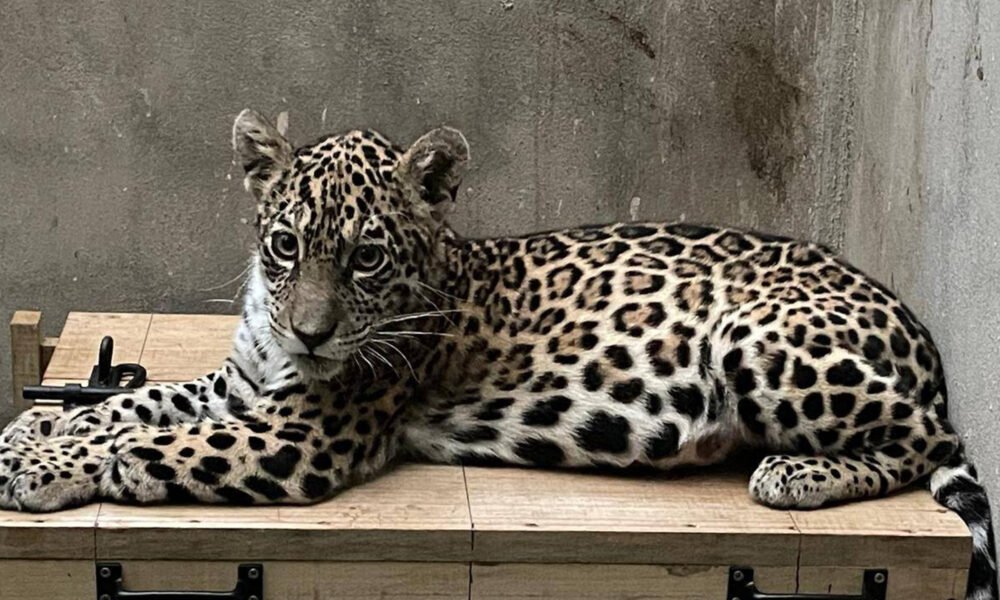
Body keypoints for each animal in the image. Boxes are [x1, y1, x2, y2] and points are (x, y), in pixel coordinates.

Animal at [0, 109, 995, 599]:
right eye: (285, 245)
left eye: (365, 257)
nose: (311, 334)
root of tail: (917, 326)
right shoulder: (244, 382)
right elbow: (135, 403)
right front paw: (32, 437)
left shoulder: (301, 435)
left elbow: (145, 442)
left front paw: (40, 467)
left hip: (755, 336)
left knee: (929, 440)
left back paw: (795, 475)